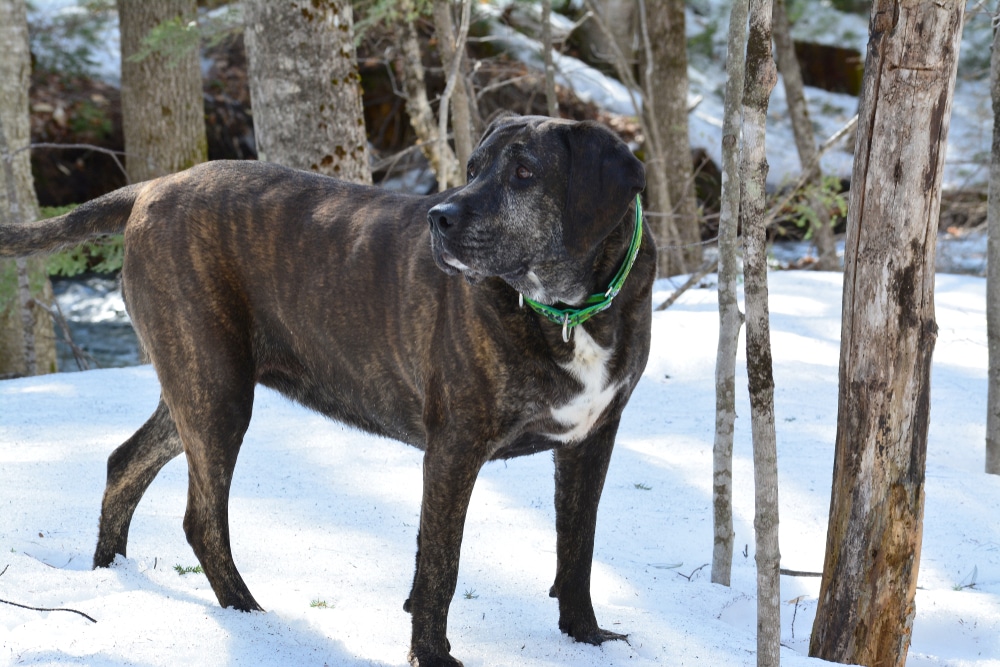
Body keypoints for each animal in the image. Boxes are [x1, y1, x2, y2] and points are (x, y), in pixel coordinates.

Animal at [0, 113, 652, 664]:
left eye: (523, 172)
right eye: (473, 167)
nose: (440, 217)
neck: (570, 313)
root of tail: (152, 186)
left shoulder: (593, 438)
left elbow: (578, 546)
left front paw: (585, 636)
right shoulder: (454, 448)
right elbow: (440, 564)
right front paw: (433, 655)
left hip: (193, 383)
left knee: (125, 462)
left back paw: (109, 574)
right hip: (217, 391)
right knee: (201, 517)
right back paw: (249, 616)